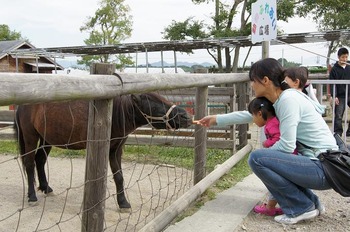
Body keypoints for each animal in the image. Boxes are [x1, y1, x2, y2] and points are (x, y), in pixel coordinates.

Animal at [15, 92, 193, 208]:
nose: (186, 117)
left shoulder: (115, 150)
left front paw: (123, 203)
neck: (115, 114)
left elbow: (119, 177)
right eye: (154, 106)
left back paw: (46, 188)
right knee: (29, 164)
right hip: (31, 137)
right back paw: (32, 196)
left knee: (40, 160)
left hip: (47, 139)